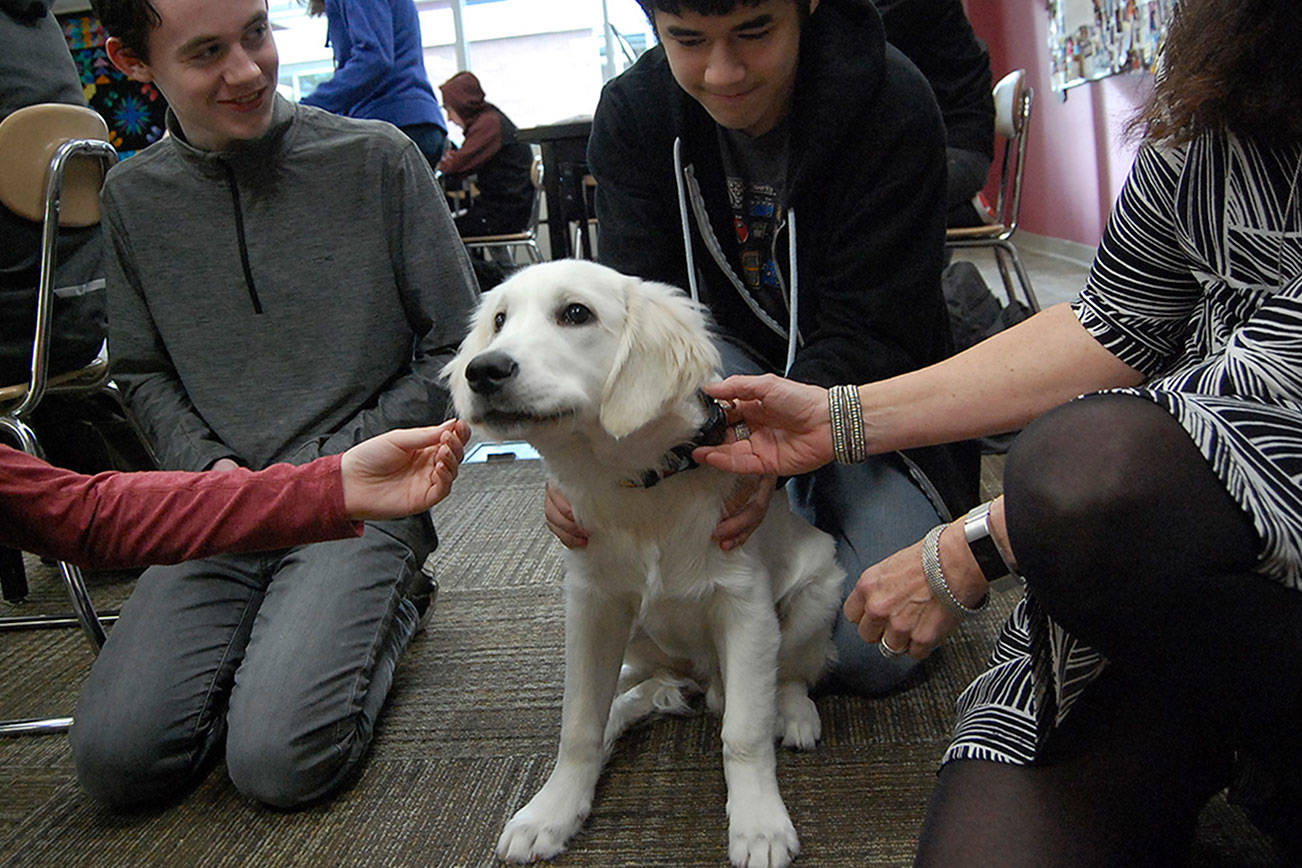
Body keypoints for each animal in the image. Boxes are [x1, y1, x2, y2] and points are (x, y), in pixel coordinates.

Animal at [442, 260, 838, 868]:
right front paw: (552, 810)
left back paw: (792, 713)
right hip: (639, 638)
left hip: (822, 585)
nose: (483, 370)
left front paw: (759, 824)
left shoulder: (745, 606)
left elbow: (744, 731)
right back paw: (648, 700)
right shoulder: (592, 605)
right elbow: (580, 722)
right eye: (500, 320)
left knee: (794, 671)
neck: (641, 486)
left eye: (575, 313)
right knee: (645, 688)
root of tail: (701, 675)